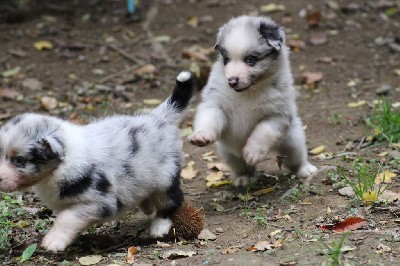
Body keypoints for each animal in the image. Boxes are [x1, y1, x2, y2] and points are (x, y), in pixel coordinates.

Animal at [0, 70, 195, 251]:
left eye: (19, 160)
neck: (62, 164)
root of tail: (158, 117)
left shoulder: (100, 202)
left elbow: (66, 218)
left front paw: (53, 242)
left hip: (165, 178)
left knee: (173, 199)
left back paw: (159, 226)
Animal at [187, 15, 316, 186]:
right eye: (226, 59)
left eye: (250, 60)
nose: (232, 81)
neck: (248, 93)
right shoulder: (215, 104)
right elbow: (209, 118)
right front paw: (201, 136)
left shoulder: (277, 115)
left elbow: (262, 132)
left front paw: (253, 152)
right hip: (229, 153)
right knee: (241, 166)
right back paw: (244, 178)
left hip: (293, 141)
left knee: (296, 158)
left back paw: (304, 169)